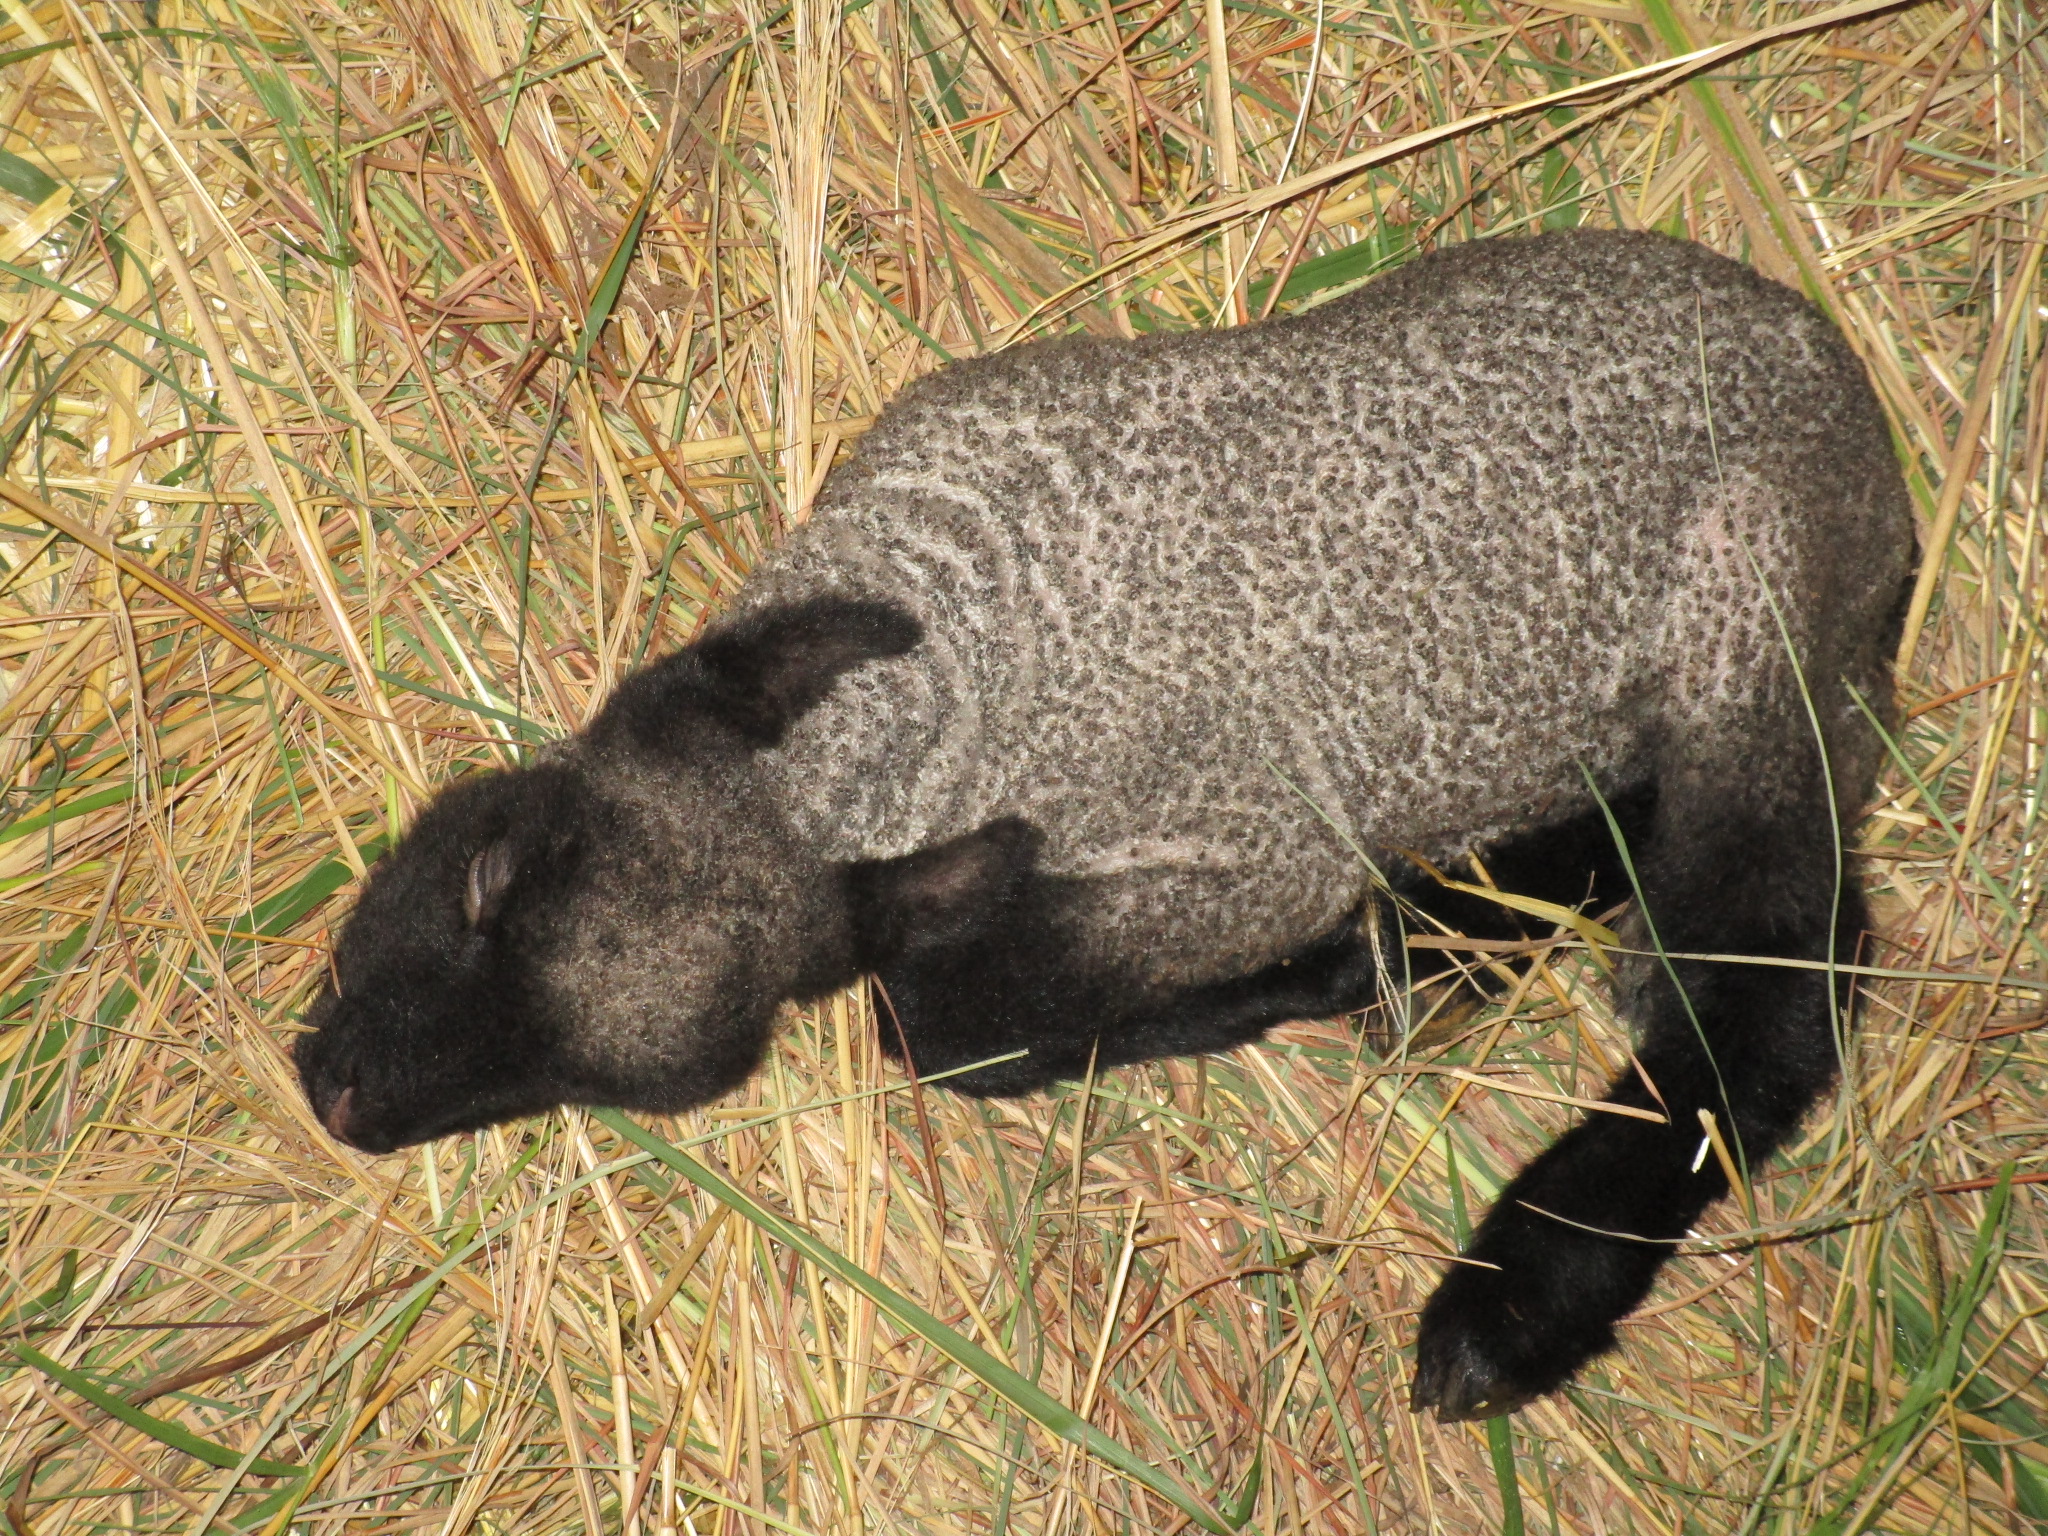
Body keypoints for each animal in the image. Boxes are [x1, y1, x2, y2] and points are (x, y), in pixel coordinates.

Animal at [296, 228, 1908, 1417]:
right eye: (482, 868)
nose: (336, 1094)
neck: (927, 700)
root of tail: (1876, 460)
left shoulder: (1236, 854)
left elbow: (950, 1026)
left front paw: (1333, 970)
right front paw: (1401, 950)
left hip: (1754, 626)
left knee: (1767, 995)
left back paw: (1507, 1303)